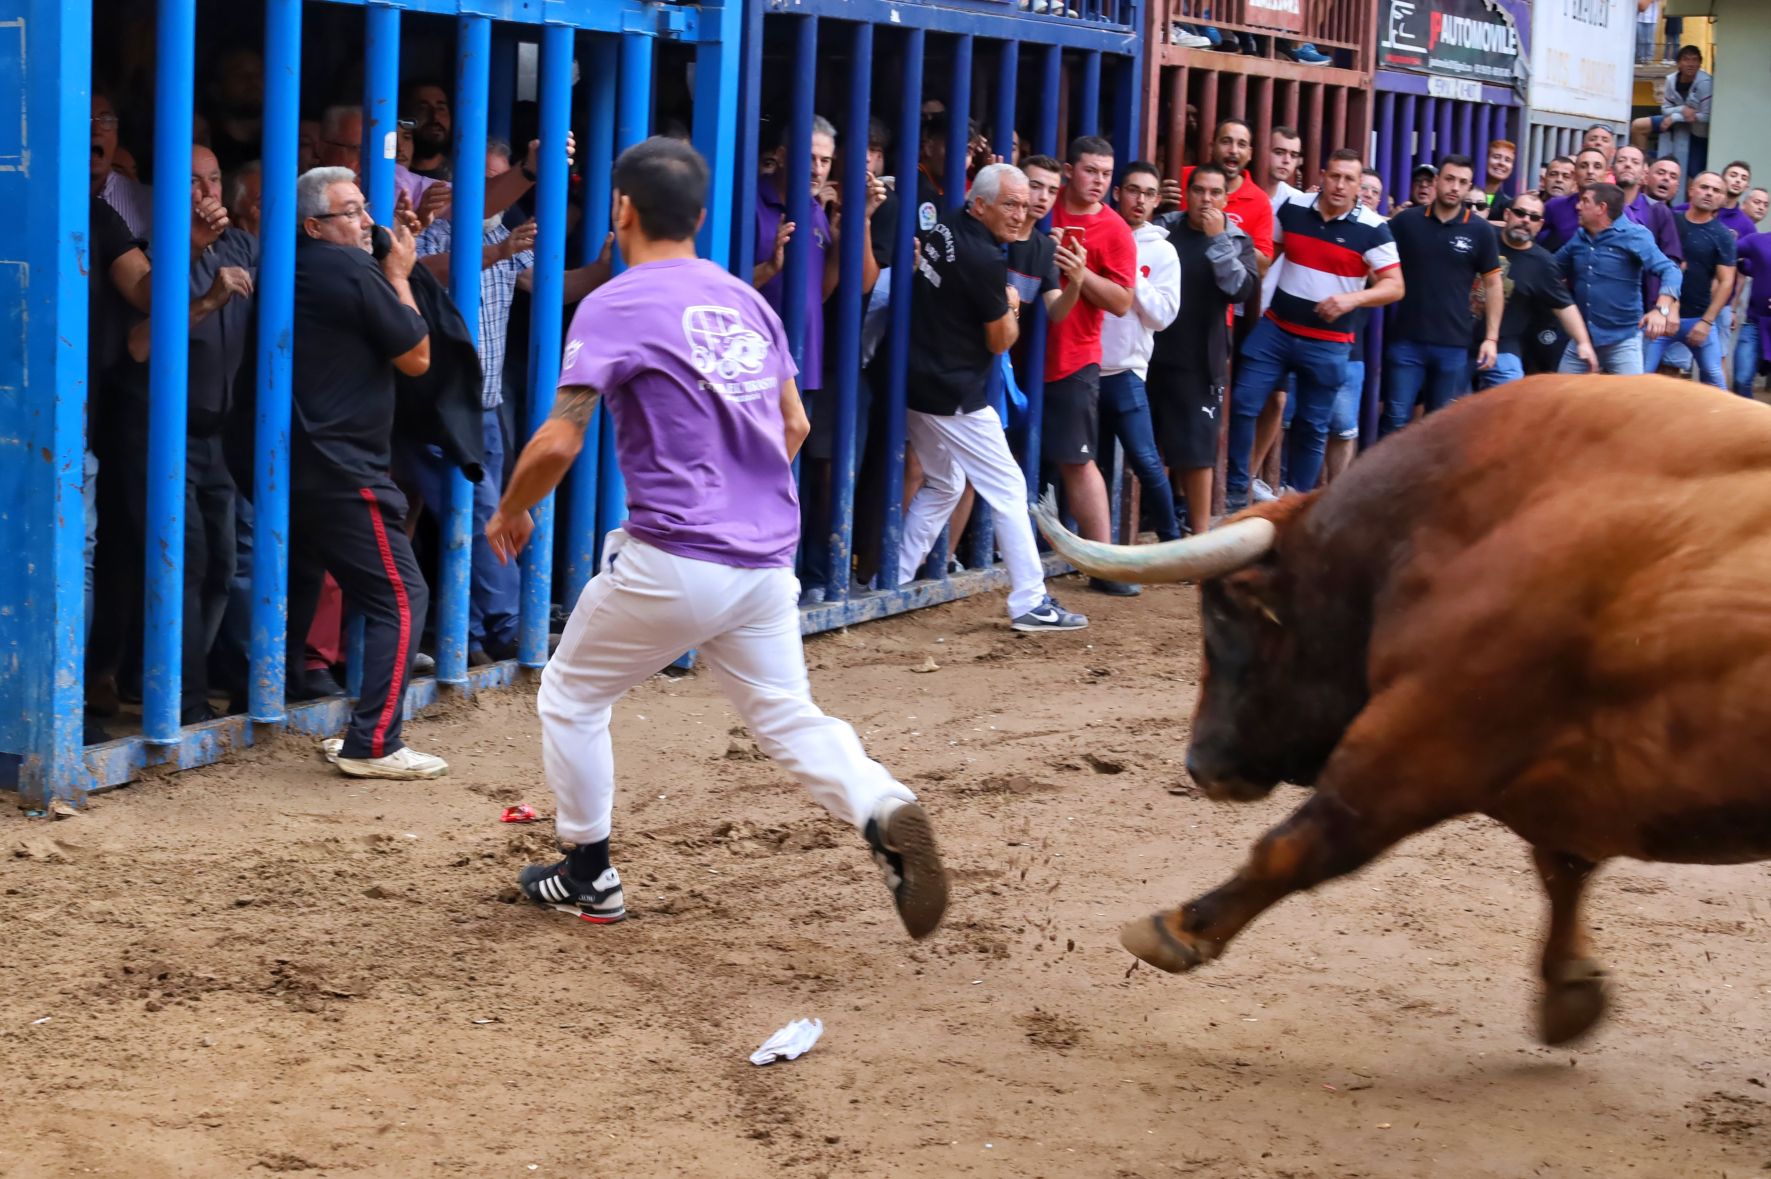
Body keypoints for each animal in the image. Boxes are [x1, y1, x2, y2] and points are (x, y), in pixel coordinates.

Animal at [1034, 373, 1771, 1040]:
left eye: (1219, 615)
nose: (1200, 764)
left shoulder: (1420, 740)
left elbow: (1298, 843)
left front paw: (1180, 926)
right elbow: (1562, 866)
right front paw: (1570, 986)